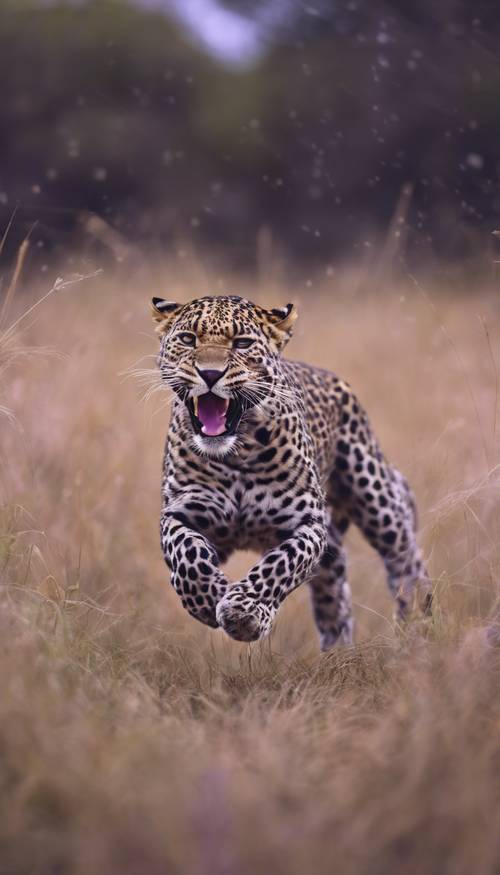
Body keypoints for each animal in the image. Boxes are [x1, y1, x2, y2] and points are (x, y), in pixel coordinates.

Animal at [150, 294, 432, 652]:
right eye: (188, 339)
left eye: (242, 344)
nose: (210, 373)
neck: (237, 452)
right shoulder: (181, 513)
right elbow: (188, 557)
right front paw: (208, 598)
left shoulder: (308, 523)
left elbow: (280, 565)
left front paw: (245, 613)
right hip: (335, 553)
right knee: (335, 600)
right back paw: (340, 654)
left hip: (374, 495)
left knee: (405, 556)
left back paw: (416, 624)